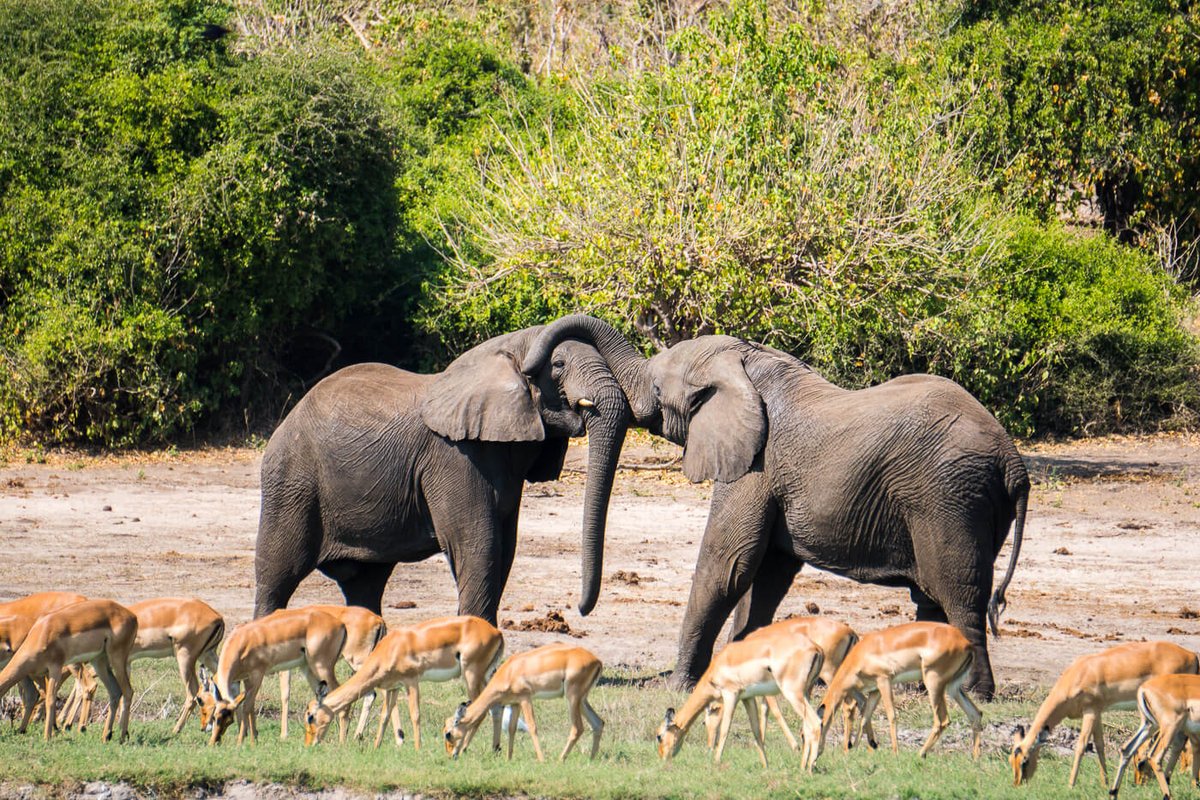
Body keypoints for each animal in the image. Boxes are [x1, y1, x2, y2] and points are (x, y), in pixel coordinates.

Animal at [253, 320, 653, 623]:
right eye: (558, 365)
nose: (579, 609)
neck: (508, 350)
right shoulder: (452, 456)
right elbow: (478, 543)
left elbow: (505, 547)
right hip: (292, 482)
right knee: (277, 575)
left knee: (364, 585)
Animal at [524, 316, 1028, 700]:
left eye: (655, 388)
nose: (538, 366)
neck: (747, 366)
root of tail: (1014, 462)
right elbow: (765, 575)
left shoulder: (756, 466)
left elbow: (727, 564)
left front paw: (680, 687)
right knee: (932, 598)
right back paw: (919, 689)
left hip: (948, 498)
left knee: (958, 593)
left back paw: (973, 693)